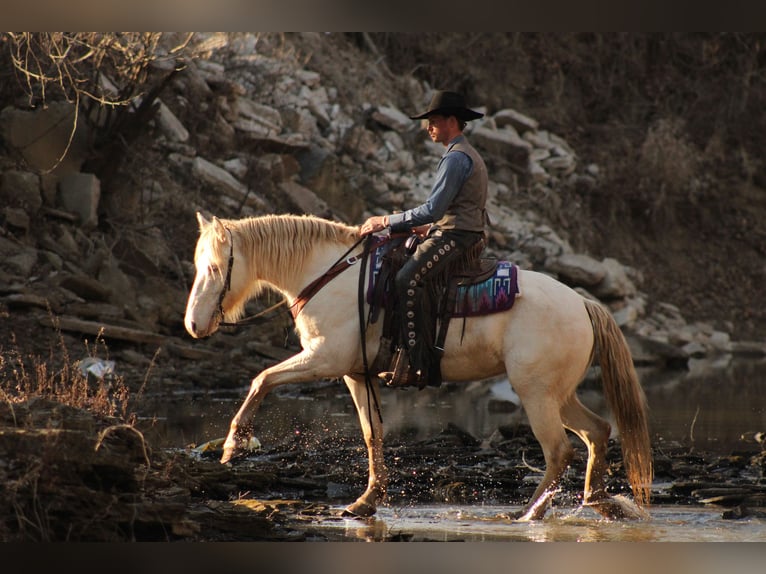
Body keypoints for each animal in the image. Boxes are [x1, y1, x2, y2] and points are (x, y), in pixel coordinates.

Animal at [184, 212, 653, 521]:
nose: (192, 324)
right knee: (597, 431)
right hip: (559, 393)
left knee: (559, 450)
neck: (329, 277)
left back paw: (529, 513)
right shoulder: (355, 374)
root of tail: (584, 303)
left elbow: (261, 379)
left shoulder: (323, 359)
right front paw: (366, 501)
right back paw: (596, 501)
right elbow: (372, 433)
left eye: (214, 267)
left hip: (536, 393)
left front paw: (233, 444)